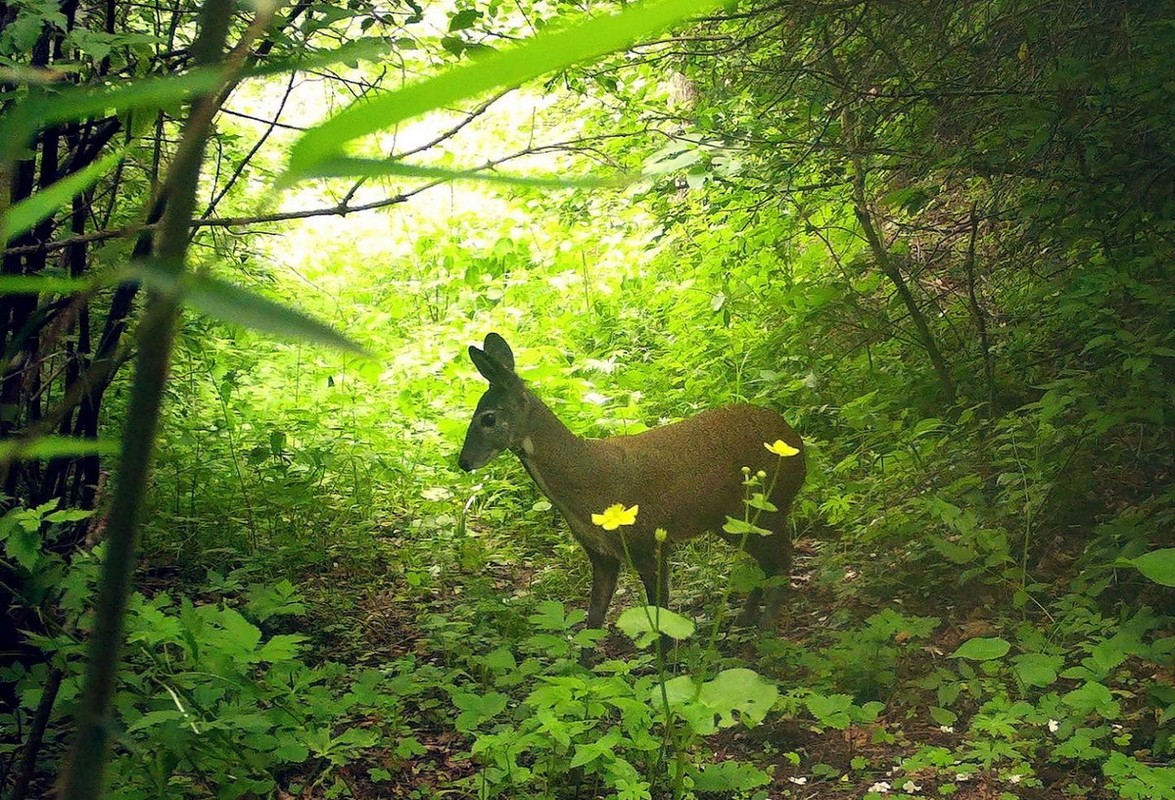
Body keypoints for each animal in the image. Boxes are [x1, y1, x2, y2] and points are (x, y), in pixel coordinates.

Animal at [458, 331, 808, 629]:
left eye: (488, 418)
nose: (464, 462)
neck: (585, 483)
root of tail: (796, 440)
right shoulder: (600, 554)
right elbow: (593, 621)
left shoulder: (647, 541)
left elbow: (661, 618)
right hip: (731, 521)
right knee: (768, 563)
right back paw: (744, 619)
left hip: (768, 504)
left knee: (782, 556)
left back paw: (764, 627)